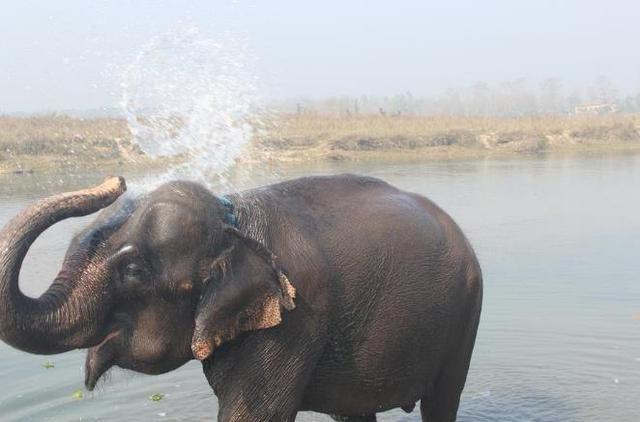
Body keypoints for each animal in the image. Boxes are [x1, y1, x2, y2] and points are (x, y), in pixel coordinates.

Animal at [0, 173, 480, 420]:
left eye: (133, 272)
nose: (116, 179)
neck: (232, 216)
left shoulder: (295, 320)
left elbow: (254, 415)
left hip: (466, 311)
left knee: (443, 400)